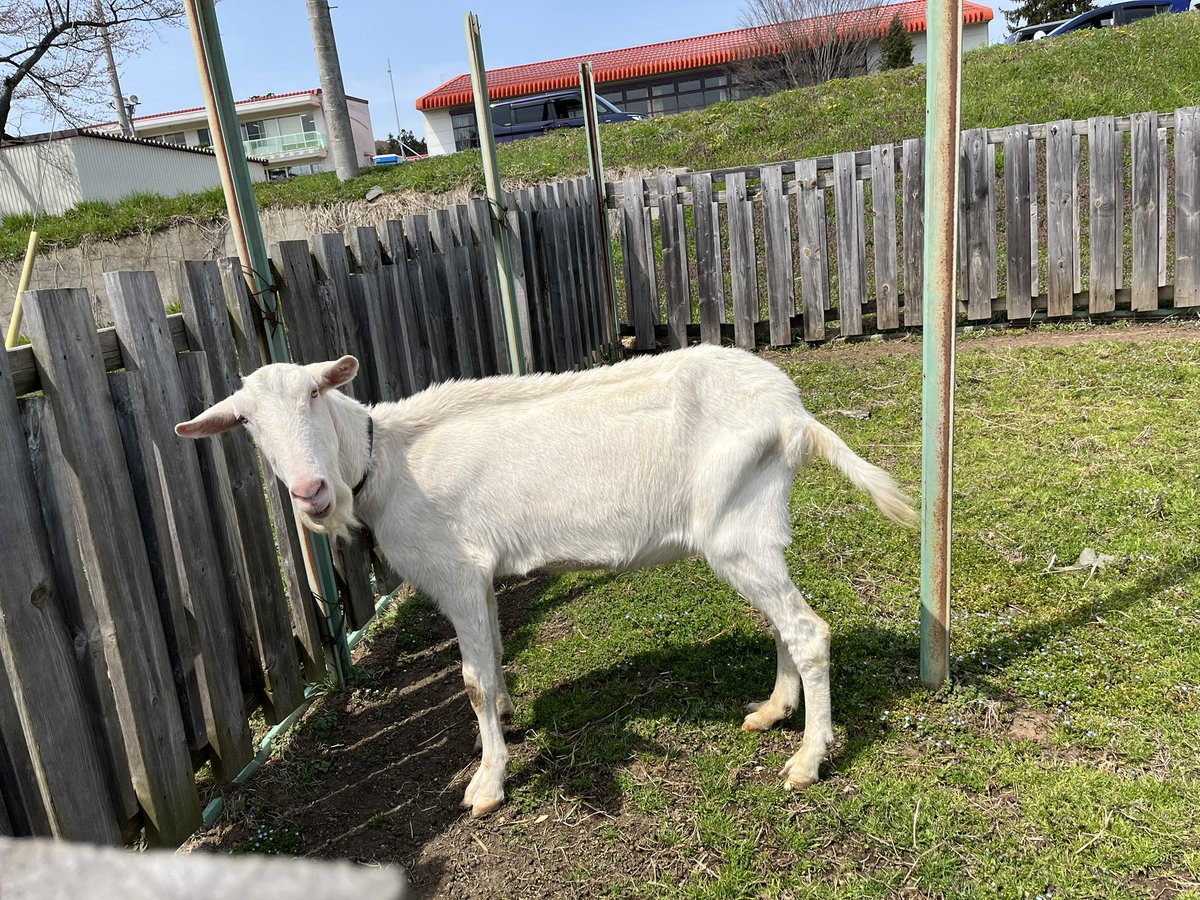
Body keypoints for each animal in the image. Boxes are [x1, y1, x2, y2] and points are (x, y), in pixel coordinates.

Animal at [176, 345, 916, 817]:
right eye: (245, 422)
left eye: (315, 393)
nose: (310, 492)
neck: (382, 461)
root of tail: (794, 414)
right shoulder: (480, 577)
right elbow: (495, 660)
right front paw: (506, 719)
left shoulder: (454, 572)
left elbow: (472, 681)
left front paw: (486, 784)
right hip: (751, 531)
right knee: (781, 623)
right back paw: (773, 710)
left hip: (736, 530)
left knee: (808, 630)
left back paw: (808, 761)